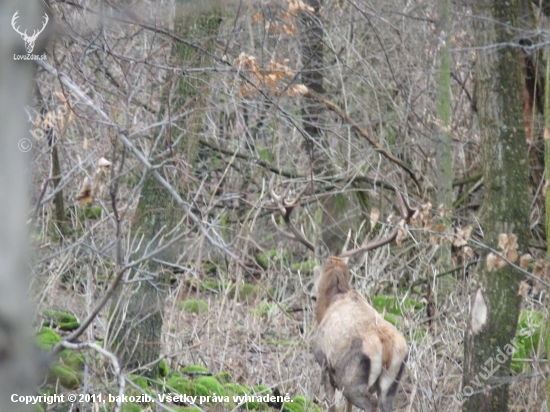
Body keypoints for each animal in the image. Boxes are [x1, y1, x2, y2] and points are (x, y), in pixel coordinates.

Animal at [272, 184, 414, 412]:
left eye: (315, 271)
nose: (311, 293)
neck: (331, 302)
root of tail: (386, 345)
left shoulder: (323, 361)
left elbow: (330, 403)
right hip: (391, 382)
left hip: (351, 377)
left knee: (369, 404)